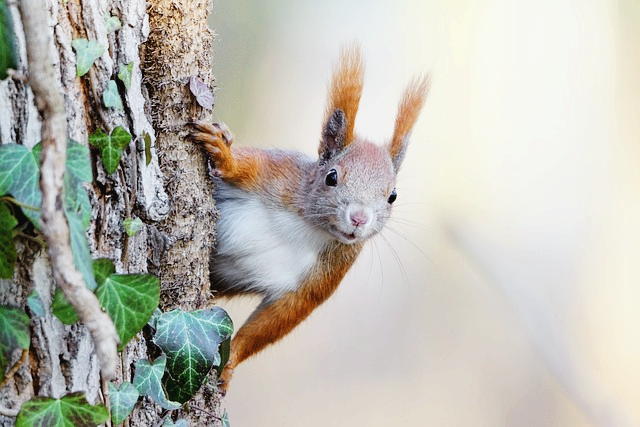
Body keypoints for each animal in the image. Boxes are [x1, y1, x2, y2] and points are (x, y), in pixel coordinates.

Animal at [188, 44, 430, 394]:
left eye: (392, 196)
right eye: (331, 177)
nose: (359, 218)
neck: (308, 226)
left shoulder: (327, 274)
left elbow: (279, 318)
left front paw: (231, 361)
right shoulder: (277, 173)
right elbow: (244, 166)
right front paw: (225, 154)